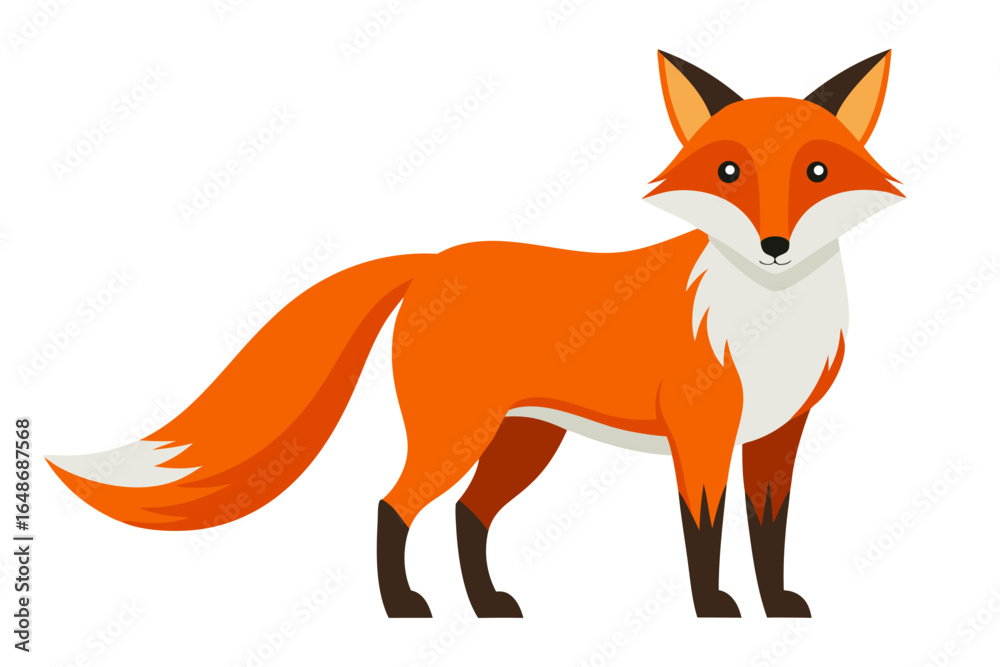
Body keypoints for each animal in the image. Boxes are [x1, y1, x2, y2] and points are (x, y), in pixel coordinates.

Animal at [48, 50, 903, 618]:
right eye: (728, 173)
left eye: (817, 172)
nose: (774, 245)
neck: (769, 316)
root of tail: (433, 262)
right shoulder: (702, 430)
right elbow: (705, 530)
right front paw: (713, 609)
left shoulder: (779, 432)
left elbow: (770, 531)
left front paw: (778, 606)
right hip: (459, 432)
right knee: (394, 504)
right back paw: (404, 606)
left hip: (523, 439)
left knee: (469, 514)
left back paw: (487, 605)